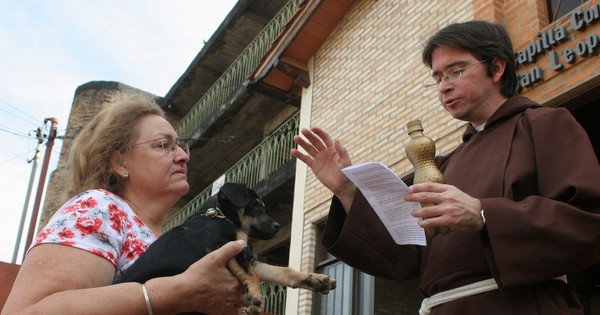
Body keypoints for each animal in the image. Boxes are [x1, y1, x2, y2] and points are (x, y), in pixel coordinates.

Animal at [115, 184, 336, 314]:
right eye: (254, 205)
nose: (277, 226)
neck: (222, 216)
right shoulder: (221, 247)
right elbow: (252, 273)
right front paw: (255, 295)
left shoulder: (246, 254)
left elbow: (282, 271)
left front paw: (313, 279)